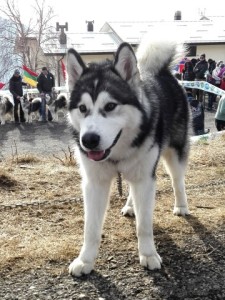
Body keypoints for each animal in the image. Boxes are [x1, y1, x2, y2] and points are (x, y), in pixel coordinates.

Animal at [66, 34, 191, 276]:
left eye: (110, 106)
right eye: (83, 108)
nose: (89, 140)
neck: (116, 152)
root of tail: (160, 71)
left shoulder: (146, 179)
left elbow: (144, 225)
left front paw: (149, 254)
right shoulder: (94, 182)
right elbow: (91, 228)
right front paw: (85, 260)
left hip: (173, 153)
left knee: (177, 180)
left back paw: (181, 206)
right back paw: (131, 206)